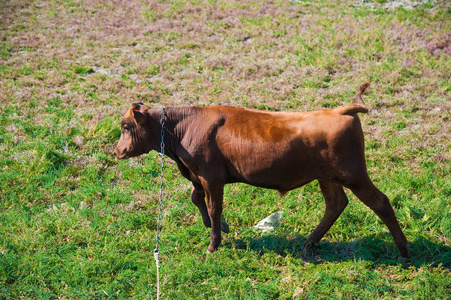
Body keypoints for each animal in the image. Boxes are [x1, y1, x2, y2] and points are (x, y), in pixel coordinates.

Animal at [115, 84, 412, 258]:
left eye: (126, 126)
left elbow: (213, 206)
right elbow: (196, 198)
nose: (116, 151)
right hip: (328, 177)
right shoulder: (197, 174)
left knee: (380, 202)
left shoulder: (211, 176)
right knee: (336, 204)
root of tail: (339, 110)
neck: (187, 126)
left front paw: (213, 243)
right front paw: (218, 227)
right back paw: (309, 243)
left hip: (353, 174)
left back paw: (403, 250)